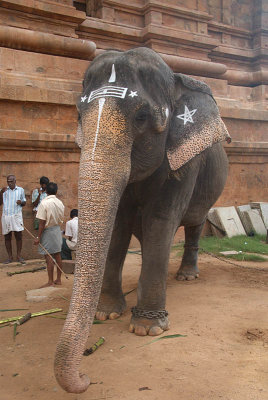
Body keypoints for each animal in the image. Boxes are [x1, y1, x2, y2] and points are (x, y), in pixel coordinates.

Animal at [54, 45, 230, 392]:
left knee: (194, 224)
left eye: (142, 117)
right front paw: (107, 315)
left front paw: (148, 329)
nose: (85, 377)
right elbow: (118, 226)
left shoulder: (184, 161)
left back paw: (186, 276)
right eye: (78, 116)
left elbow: (160, 221)